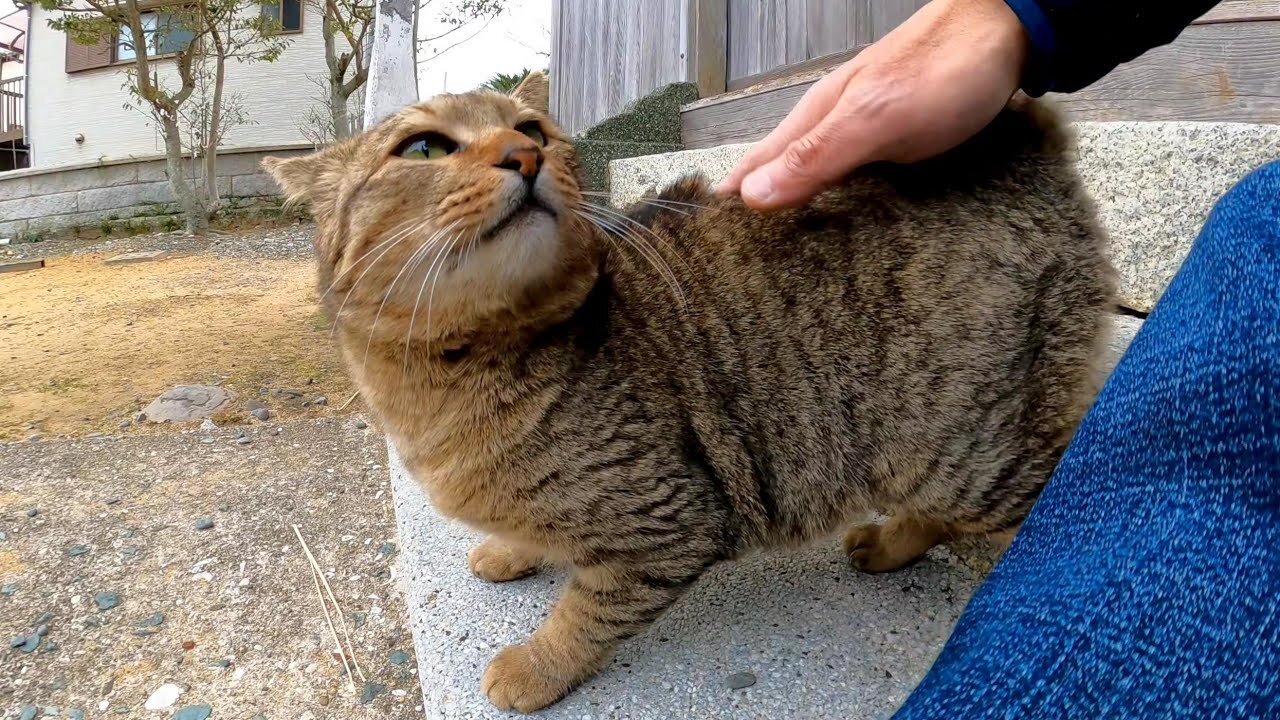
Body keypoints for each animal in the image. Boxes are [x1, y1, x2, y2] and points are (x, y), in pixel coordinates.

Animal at [264, 70, 1116, 707]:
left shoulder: (667, 523)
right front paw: (512, 550)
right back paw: (886, 545)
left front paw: (532, 667)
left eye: (532, 128)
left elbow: (585, 612)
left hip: (967, 446)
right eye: (424, 147)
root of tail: (1020, 127)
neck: (444, 384)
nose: (522, 154)